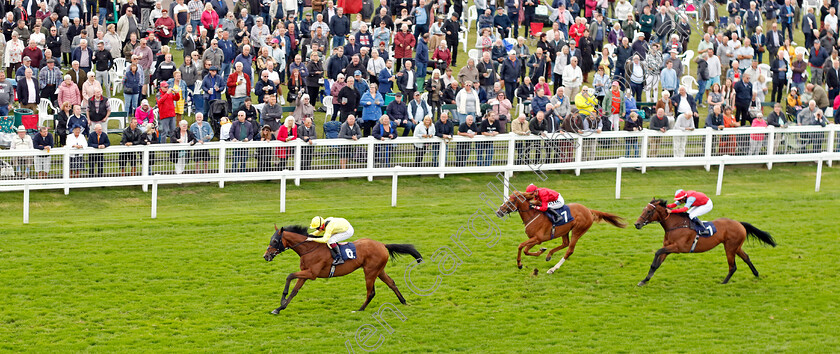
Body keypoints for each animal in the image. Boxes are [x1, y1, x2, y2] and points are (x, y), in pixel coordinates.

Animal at [262, 224, 424, 312]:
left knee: (371, 292)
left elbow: (289, 275)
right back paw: (404, 302)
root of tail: (382, 245)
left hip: (370, 271)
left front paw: (282, 299)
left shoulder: (311, 273)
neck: (309, 249)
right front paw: (279, 308)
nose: (266, 256)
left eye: (275, 241)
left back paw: (360, 309)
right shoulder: (305, 273)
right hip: (379, 270)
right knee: (391, 283)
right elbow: (294, 291)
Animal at [496, 192, 628, 272]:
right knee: (565, 243)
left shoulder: (537, 238)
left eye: (510, 201)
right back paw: (549, 255)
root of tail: (588, 210)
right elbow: (526, 250)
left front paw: (519, 264)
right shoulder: (535, 239)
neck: (532, 215)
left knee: (569, 250)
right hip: (565, 230)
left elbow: (521, 246)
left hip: (578, 231)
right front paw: (541, 251)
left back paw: (553, 269)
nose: (498, 212)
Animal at [636, 198, 776, 286]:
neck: (676, 225)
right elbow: (656, 264)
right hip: (736, 247)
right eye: (643, 209)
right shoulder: (668, 247)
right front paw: (644, 280)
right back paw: (756, 274)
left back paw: (724, 282)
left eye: (649, 211)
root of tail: (739, 223)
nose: (636, 224)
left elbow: (657, 252)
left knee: (733, 266)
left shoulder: (678, 248)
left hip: (730, 247)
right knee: (746, 257)